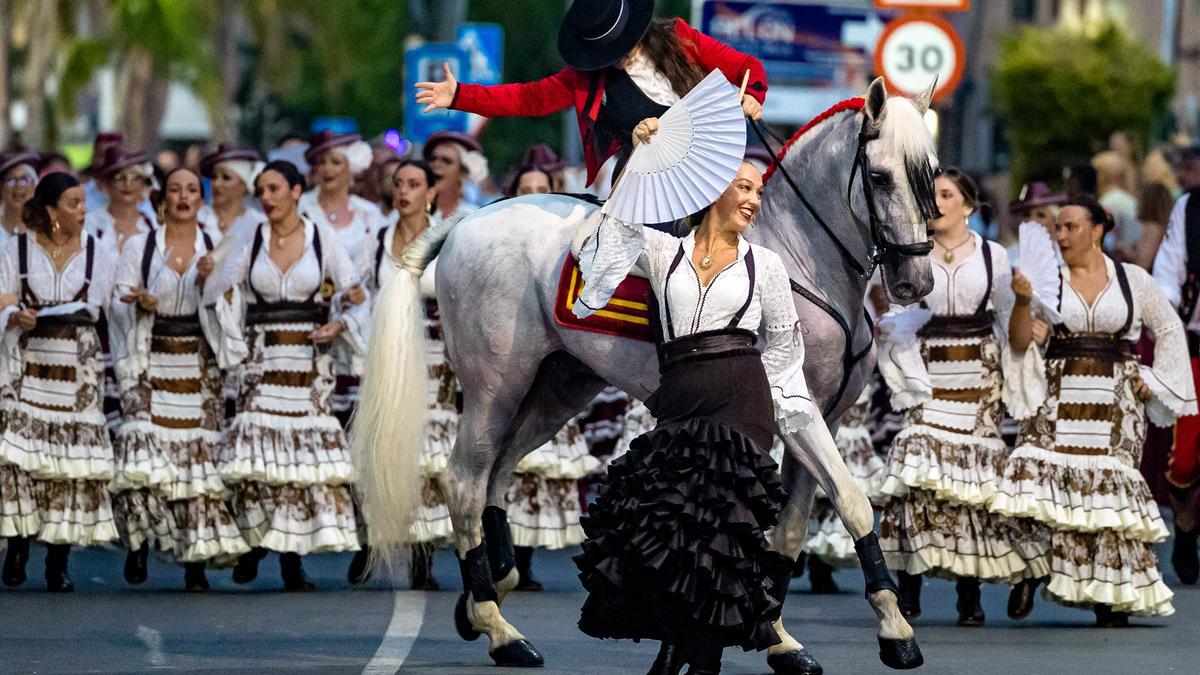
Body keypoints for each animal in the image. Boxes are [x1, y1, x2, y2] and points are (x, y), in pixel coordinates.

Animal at [352, 77, 936, 667]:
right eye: (880, 177)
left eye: (930, 173)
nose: (916, 281)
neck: (799, 262)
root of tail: (467, 221)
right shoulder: (795, 410)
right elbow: (852, 503)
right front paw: (895, 630)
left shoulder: (822, 417)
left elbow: (791, 531)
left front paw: (777, 636)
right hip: (496, 387)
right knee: (466, 481)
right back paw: (500, 629)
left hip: (558, 388)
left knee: (496, 473)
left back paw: (486, 595)